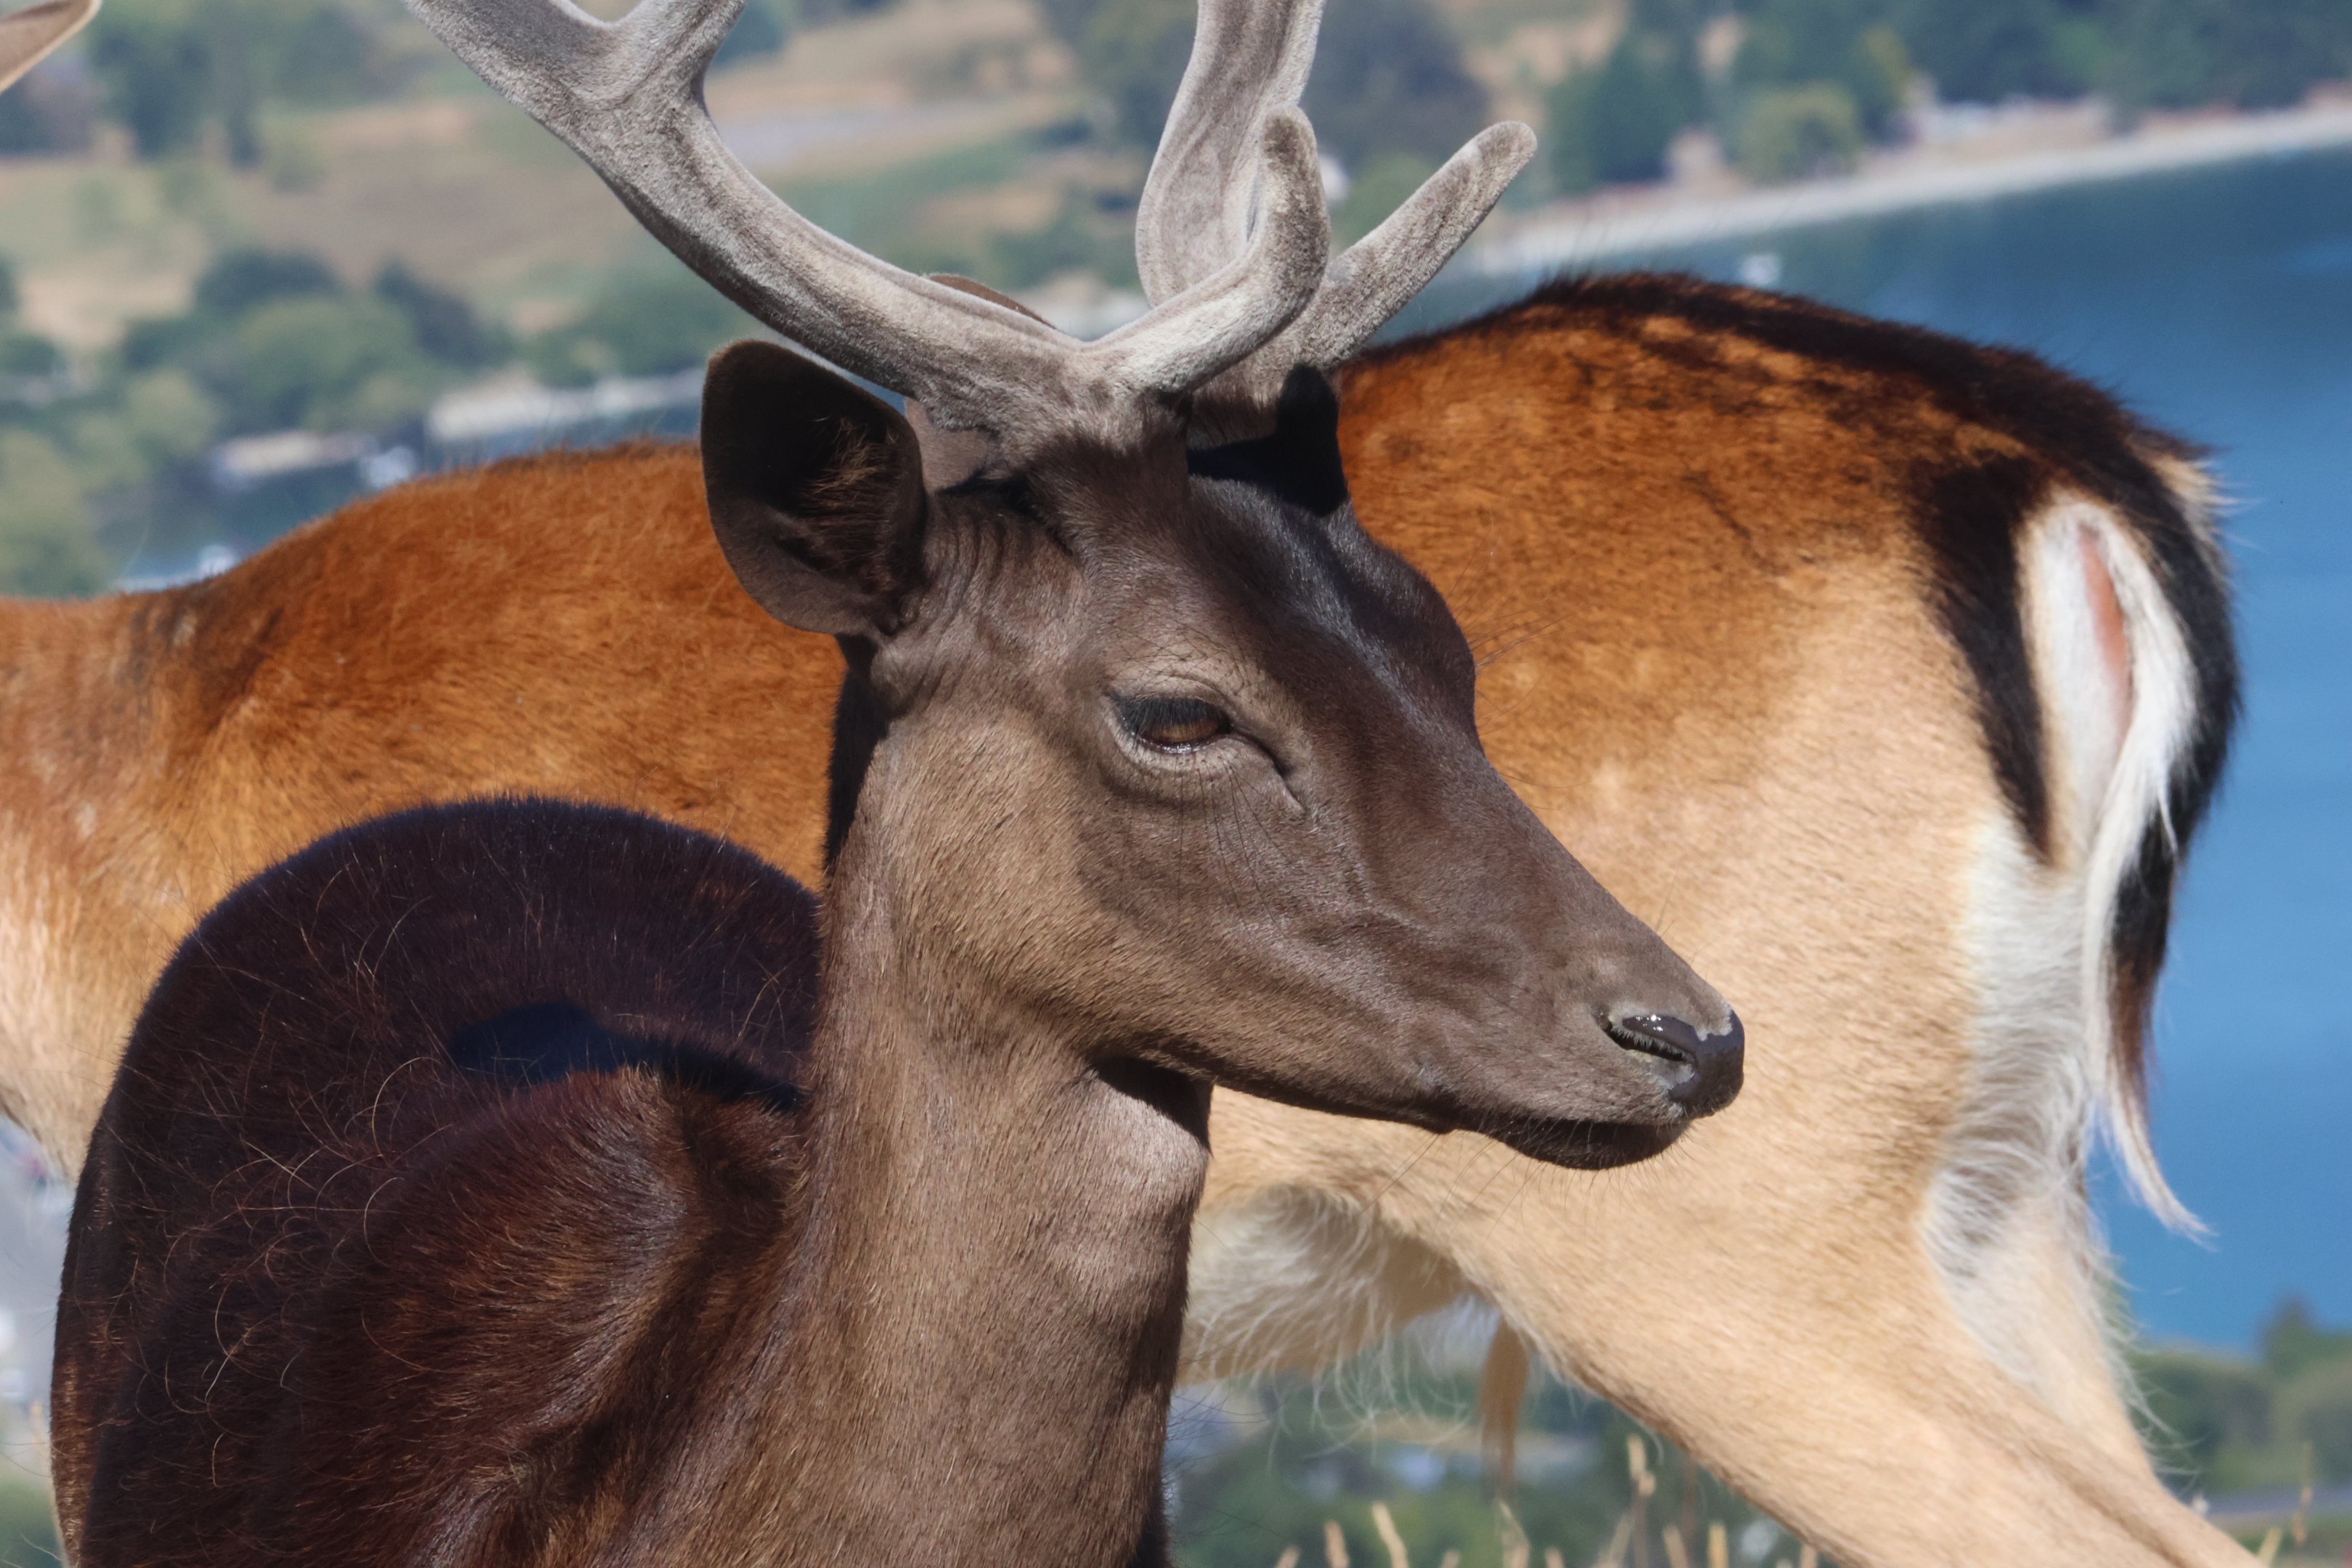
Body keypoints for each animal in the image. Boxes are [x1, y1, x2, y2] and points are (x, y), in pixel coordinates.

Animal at [0, 0, 2240, 1561]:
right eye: (1178, 710)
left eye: (1447, 638)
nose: (1681, 1032)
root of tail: (2092, 483)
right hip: (1997, 1185)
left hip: (1762, 1235)